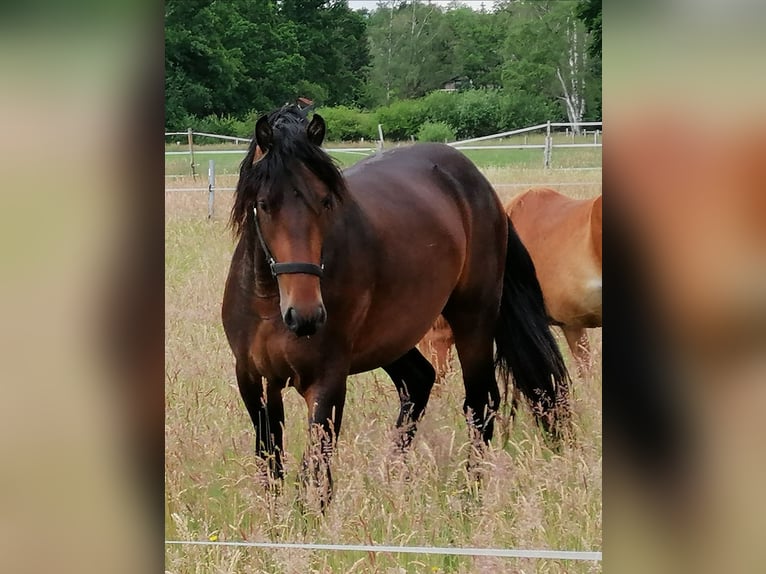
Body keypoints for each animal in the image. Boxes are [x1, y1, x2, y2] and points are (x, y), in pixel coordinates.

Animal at [222, 104, 568, 508]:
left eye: (325, 200)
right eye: (263, 204)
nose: (305, 315)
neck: (269, 305)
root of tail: (479, 185)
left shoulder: (327, 380)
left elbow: (315, 471)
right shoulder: (254, 380)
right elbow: (271, 464)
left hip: (474, 318)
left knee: (480, 403)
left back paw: (470, 495)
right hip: (393, 337)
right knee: (419, 382)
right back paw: (391, 480)